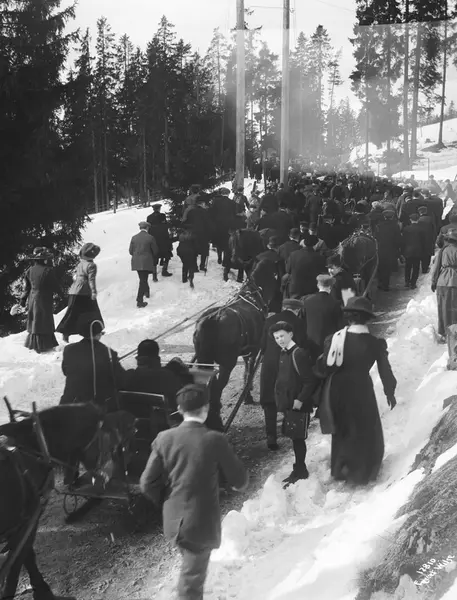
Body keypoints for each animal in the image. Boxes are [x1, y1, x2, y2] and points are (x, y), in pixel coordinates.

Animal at [0, 403, 135, 600]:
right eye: (108, 442)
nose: (106, 480)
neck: (33, 447)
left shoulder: (22, 526)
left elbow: (22, 559)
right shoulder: (27, 522)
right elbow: (23, 560)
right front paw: (42, 589)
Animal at [192, 259, 278, 430]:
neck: (252, 294)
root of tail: (212, 319)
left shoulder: (247, 349)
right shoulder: (255, 349)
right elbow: (249, 370)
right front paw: (248, 395)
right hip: (227, 363)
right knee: (216, 389)